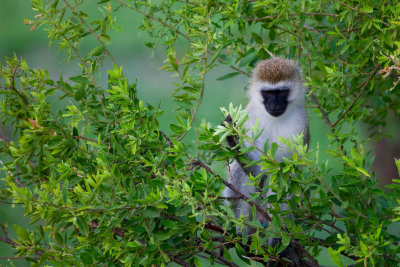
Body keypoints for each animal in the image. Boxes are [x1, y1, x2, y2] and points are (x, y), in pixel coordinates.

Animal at [222, 57, 310, 233]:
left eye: (282, 92)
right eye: (268, 93)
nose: (274, 106)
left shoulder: (300, 123)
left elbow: (286, 171)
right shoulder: (249, 118)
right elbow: (257, 169)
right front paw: (234, 138)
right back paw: (241, 231)